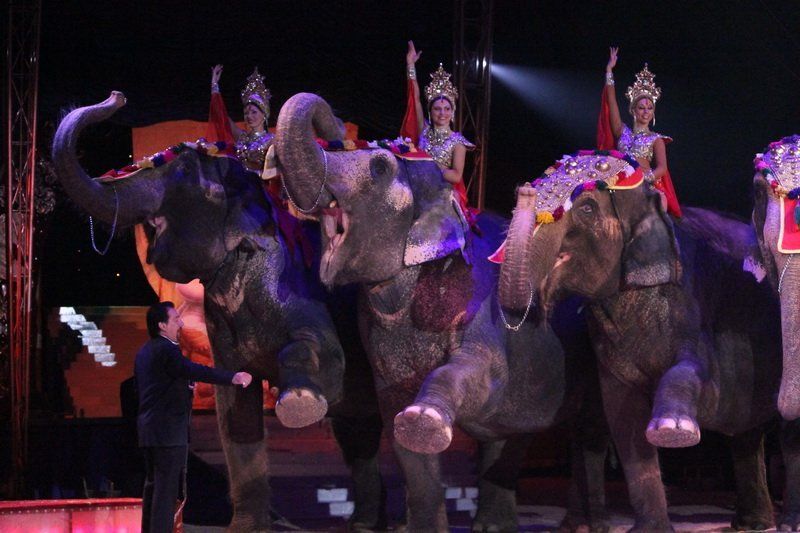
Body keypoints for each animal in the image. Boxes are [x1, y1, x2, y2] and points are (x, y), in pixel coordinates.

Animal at [52, 92, 385, 531]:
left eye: (184, 169)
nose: (117, 98)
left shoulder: (298, 283)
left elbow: (328, 359)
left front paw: (299, 402)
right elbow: (235, 413)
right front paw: (245, 526)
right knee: (359, 433)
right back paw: (363, 522)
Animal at [275, 92, 611, 532]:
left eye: (379, 167)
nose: (334, 128)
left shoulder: (479, 301)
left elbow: (481, 376)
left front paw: (426, 416)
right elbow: (398, 422)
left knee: (589, 432)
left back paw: (583, 524)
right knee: (512, 433)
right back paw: (498, 524)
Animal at [499, 152, 800, 531]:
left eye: (586, 208)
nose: (522, 190)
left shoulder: (691, 302)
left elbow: (707, 386)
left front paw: (673, 430)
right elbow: (624, 418)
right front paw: (650, 528)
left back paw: (785, 523)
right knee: (748, 436)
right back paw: (752, 524)